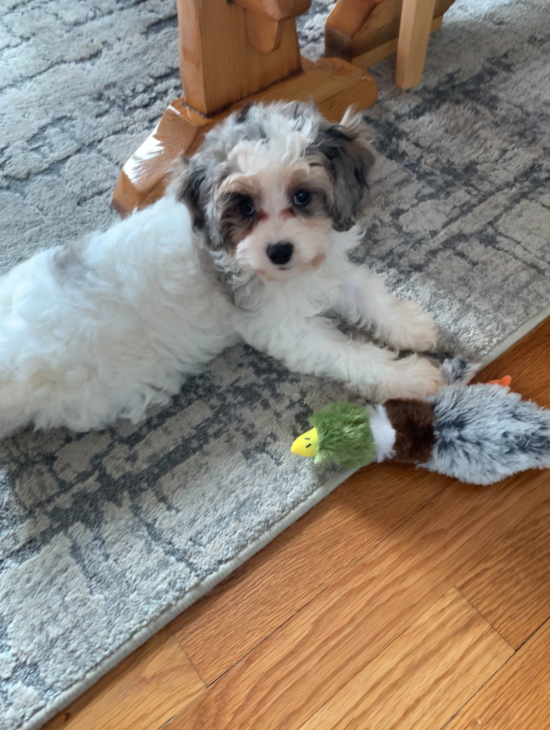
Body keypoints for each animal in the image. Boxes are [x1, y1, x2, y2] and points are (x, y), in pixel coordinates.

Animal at [0, 99, 444, 436]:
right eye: (244, 206)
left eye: (302, 196)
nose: (279, 250)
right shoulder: (288, 331)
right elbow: (353, 354)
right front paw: (412, 377)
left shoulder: (326, 269)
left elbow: (366, 292)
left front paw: (411, 325)